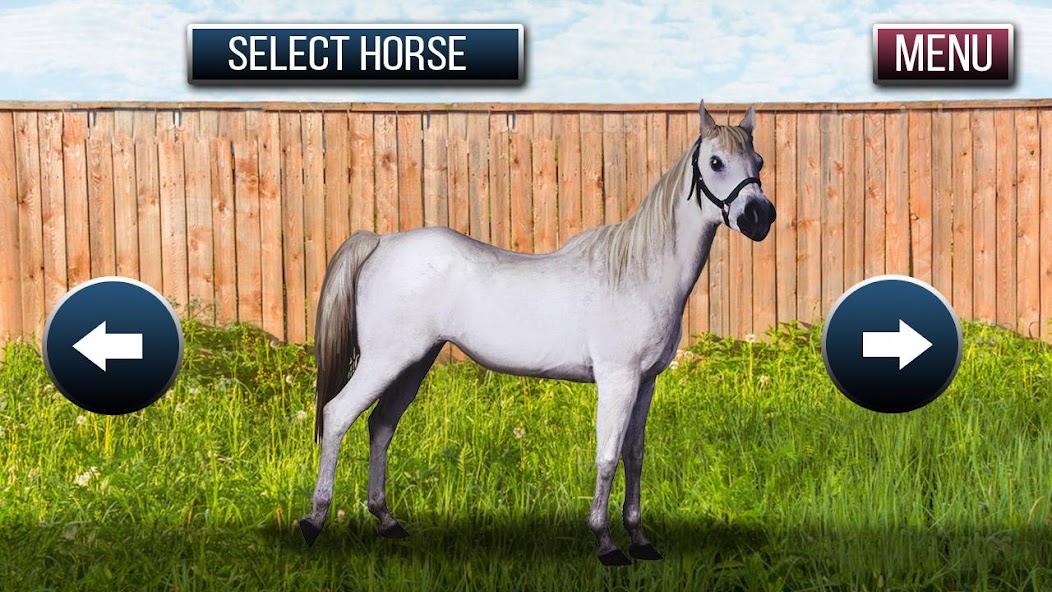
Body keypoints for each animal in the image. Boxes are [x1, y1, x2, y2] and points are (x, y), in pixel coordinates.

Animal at [299, 101, 776, 566]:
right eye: (715, 162)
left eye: (758, 161)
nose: (760, 216)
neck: (637, 270)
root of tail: (381, 242)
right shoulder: (618, 380)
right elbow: (607, 457)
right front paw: (606, 543)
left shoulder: (645, 383)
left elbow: (635, 455)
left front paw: (640, 540)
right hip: (386, 360)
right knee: (338, 414)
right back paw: (314, 520)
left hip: (414, 363)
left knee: (381, 425)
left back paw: (386, 521)